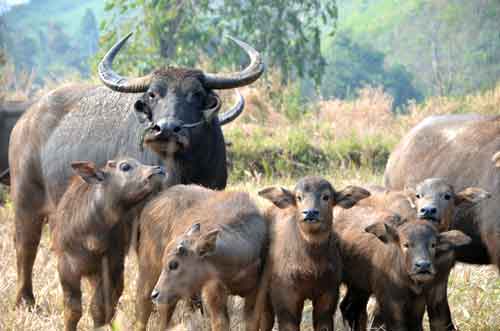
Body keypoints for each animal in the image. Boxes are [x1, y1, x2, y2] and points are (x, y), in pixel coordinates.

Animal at [9, 32, 264, 308]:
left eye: (195, 94)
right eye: (152, 94)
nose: (166, 129)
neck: (180, 169)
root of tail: (25, 120)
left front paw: (195, 305)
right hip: (25, 200)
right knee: (25, 245)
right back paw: (25, 300)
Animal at [48, 158, 163, 331]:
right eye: (125, 166)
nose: (159, 170)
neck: (91, 234)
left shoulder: (109, 266)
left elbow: (99, 307)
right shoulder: (66, 267)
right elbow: (72, 310)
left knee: (114, 297)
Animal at [136, 185, 270, 331]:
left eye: (174, 264)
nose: (156, 294)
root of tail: (153, 203)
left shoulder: (254, 294)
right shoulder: (213, 292)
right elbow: (220, 323)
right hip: (149, 276)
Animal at [256, 178, 370, 331]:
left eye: (326, 196)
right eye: (299, 197)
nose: (310, 213)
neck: (311, 266)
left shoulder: (328, 295)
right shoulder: (286, 300)